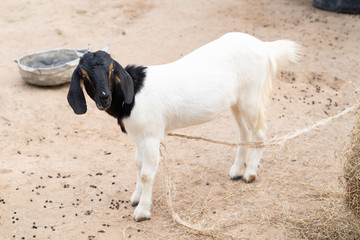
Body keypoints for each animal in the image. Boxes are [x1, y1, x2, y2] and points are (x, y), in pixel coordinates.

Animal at [67, 32, 300, 221]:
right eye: (84, 74)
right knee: (244, 131)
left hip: (251, 96)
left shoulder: (151, 136)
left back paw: (250, 173)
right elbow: (138, 165)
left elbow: (146, 173)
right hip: (237, 102)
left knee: (259, 132)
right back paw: (236, 170)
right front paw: (135, 197)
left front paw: (142, 211)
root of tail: (265, 47)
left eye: (111, 69)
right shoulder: (139, 137)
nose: (104, 98)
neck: (133, 93)